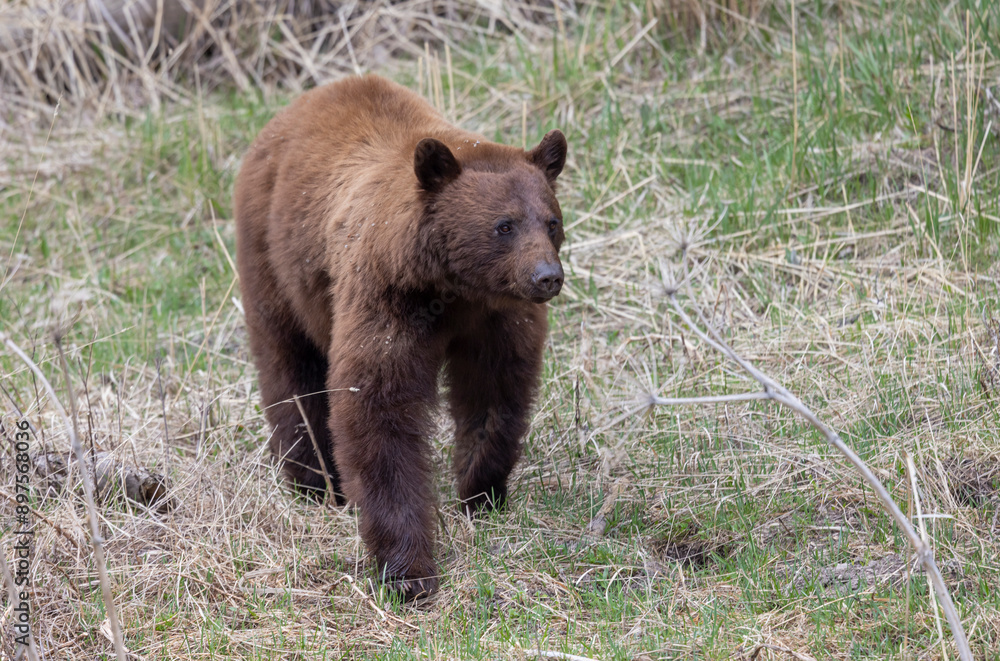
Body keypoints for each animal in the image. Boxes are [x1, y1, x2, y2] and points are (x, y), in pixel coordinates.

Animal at [233, 74, 567, 600]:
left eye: (551, 221)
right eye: (504, 225)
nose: (546, 277)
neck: (453, 288)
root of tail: (296, 106)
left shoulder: (496, 317)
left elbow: (495, 392)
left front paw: (481, 490)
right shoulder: (387, 297)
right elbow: (378, 411)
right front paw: (409, 569)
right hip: (274, 259)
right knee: (289, 367)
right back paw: (313, 481)